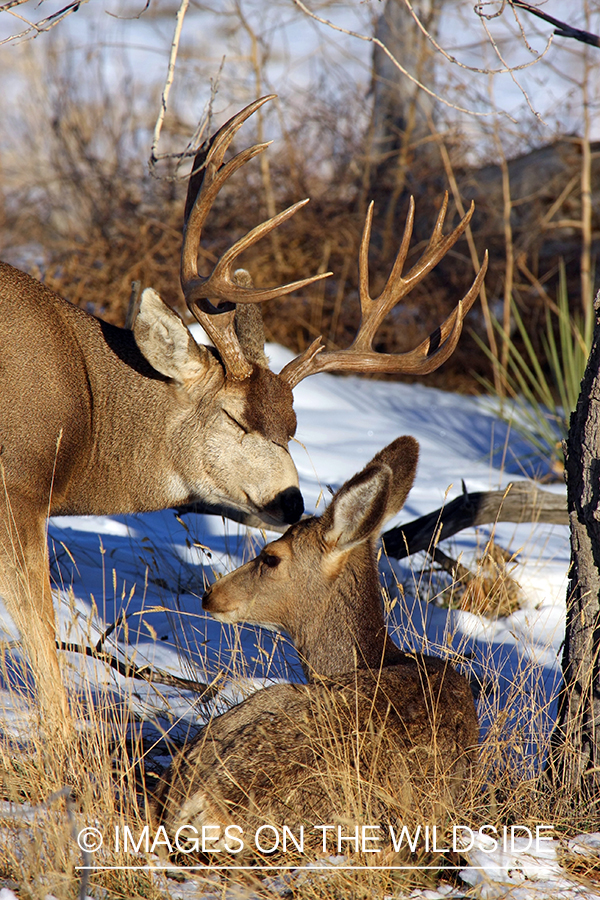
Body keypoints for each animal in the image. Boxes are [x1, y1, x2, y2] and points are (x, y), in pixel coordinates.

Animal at [0, 95, 486, 738]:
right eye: (234, 419)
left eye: (295, 428)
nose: (292, 500)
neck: (86, 413)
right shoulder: (18, 479)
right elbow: (38, 629)